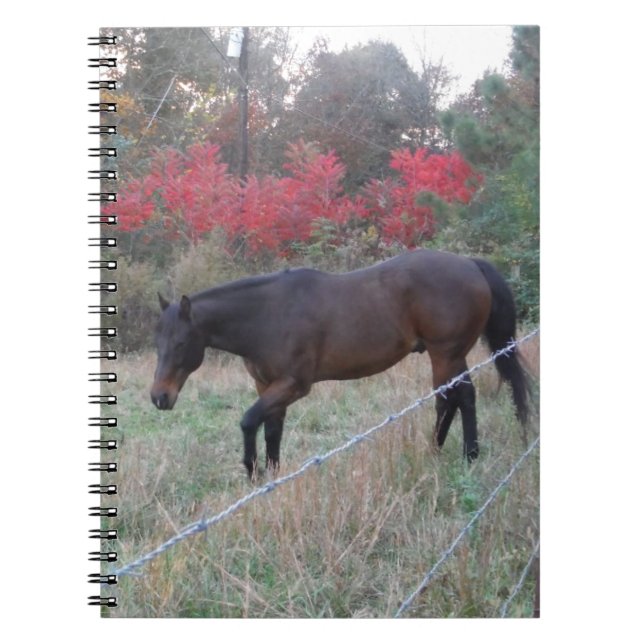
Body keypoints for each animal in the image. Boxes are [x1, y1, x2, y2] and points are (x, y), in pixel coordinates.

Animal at [151, 249, 529, 480]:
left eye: (181, 344)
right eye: (157, 343)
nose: (159, 397)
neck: (268, 315)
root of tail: (469, 263)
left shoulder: (293, 385)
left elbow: (247, 421)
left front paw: (252, 470)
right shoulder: (268, 386)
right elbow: (271, 430)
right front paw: (271, 476)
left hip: (446, 353)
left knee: (461, 397)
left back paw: (469, 456)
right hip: (448, 356)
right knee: (449, 399)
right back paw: (435, 450)